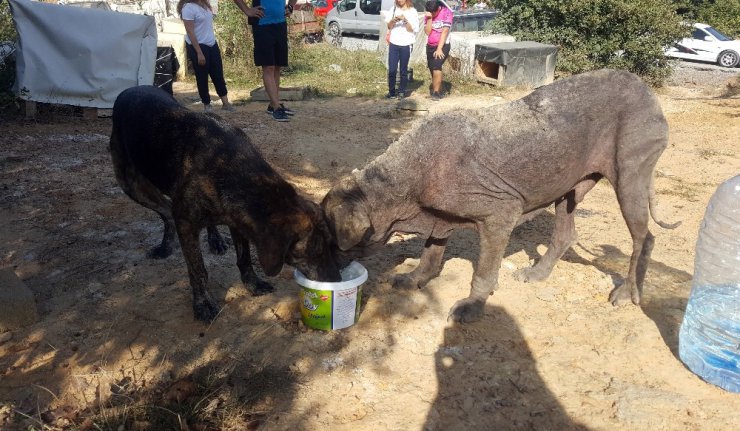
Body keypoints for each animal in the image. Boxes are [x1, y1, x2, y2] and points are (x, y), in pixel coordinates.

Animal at [110, 86, 342, 322]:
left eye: (332, 246)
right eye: (314, 253)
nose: (337, 281)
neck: (230, 165)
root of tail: (130, 89)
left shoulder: (237, 219)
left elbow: (245, 258)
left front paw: (253, 283)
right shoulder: (186, 221)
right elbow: (198, 269)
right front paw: (203, 303)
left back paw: (215, 240)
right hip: (131, 184)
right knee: (166, 212)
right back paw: (166, 245)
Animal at [320, 69, 680, 322]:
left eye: (327, 239)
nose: (325, 277)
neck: (407, 176)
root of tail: (643, 87)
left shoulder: (501, 213)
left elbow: (483, 273)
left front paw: (473, 307)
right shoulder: (440, 218)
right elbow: (430, 254)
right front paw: (415, 278)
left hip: (630, 176)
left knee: (645, 238)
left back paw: (628, 292)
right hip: (569, 189)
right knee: (566, 234)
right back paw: (538, 273)